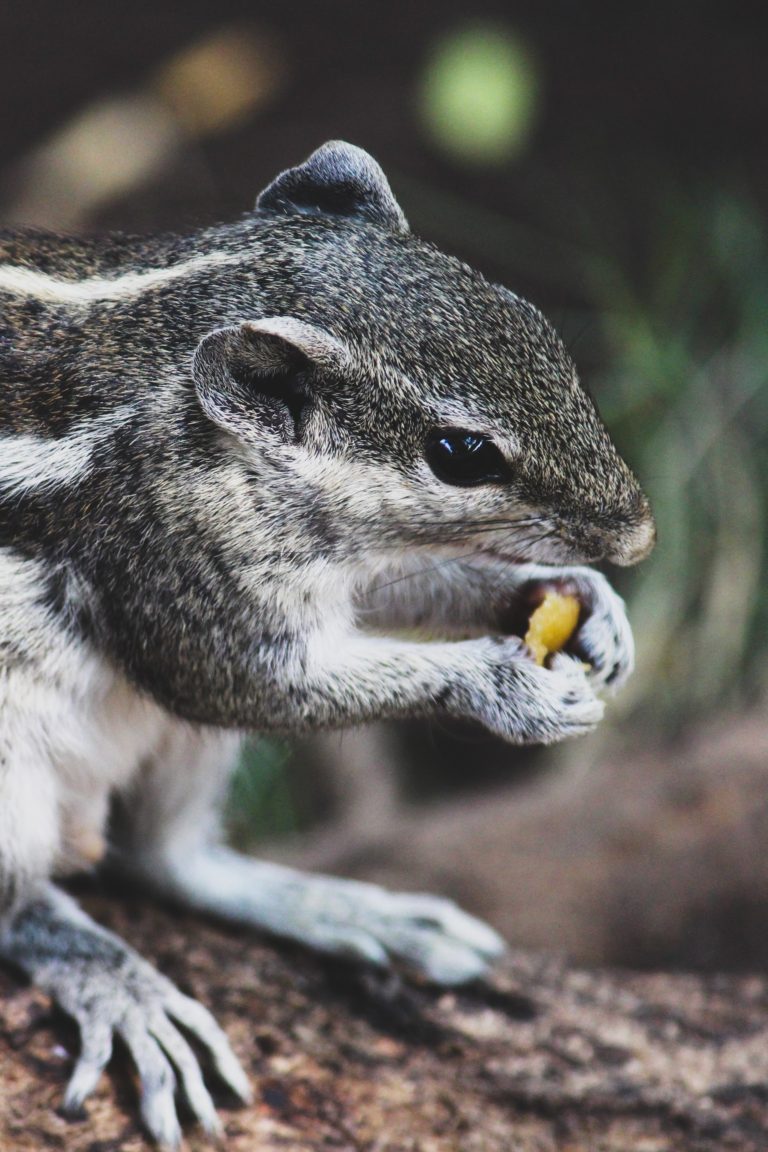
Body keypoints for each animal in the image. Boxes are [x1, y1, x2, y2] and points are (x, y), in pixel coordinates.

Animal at [0, 141, 654, 1142]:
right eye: (461, 453)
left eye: (536, 327)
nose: (640, 535)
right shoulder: (176, 560)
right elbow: (244, 681)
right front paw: (502, 688)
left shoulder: (350, 561)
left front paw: (590, 602)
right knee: (23, 905)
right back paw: (118, 983)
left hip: (181, 752)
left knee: (168, 860)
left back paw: (348, 911)